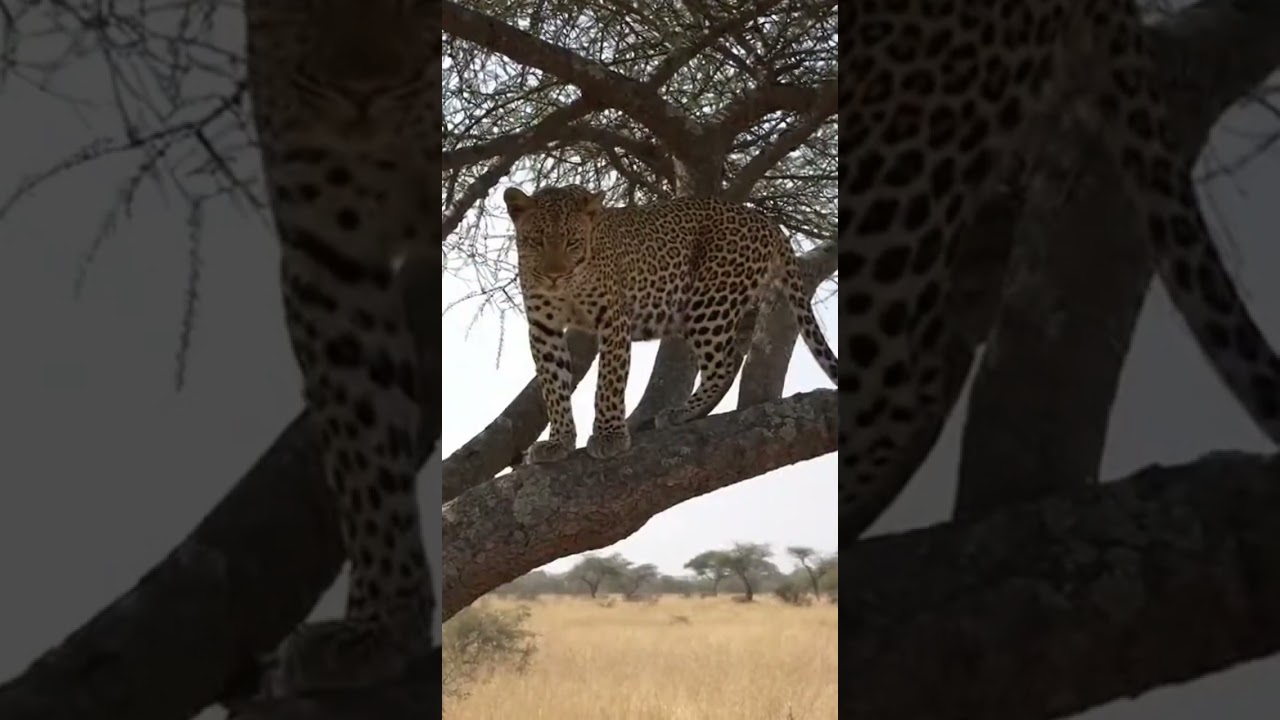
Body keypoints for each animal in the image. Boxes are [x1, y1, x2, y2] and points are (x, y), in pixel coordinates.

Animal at [503, 185, 838, 464]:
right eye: (536, 241)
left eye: (573, 242)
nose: (554, 276)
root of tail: (766, 220)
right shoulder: (543, 328)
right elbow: (553, 386)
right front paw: (558, 441)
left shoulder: (613, 320)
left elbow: (608, 383)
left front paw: (609, 435)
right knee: (735, 356)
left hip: (711, 302)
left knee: (723, 365)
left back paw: (681, 412)